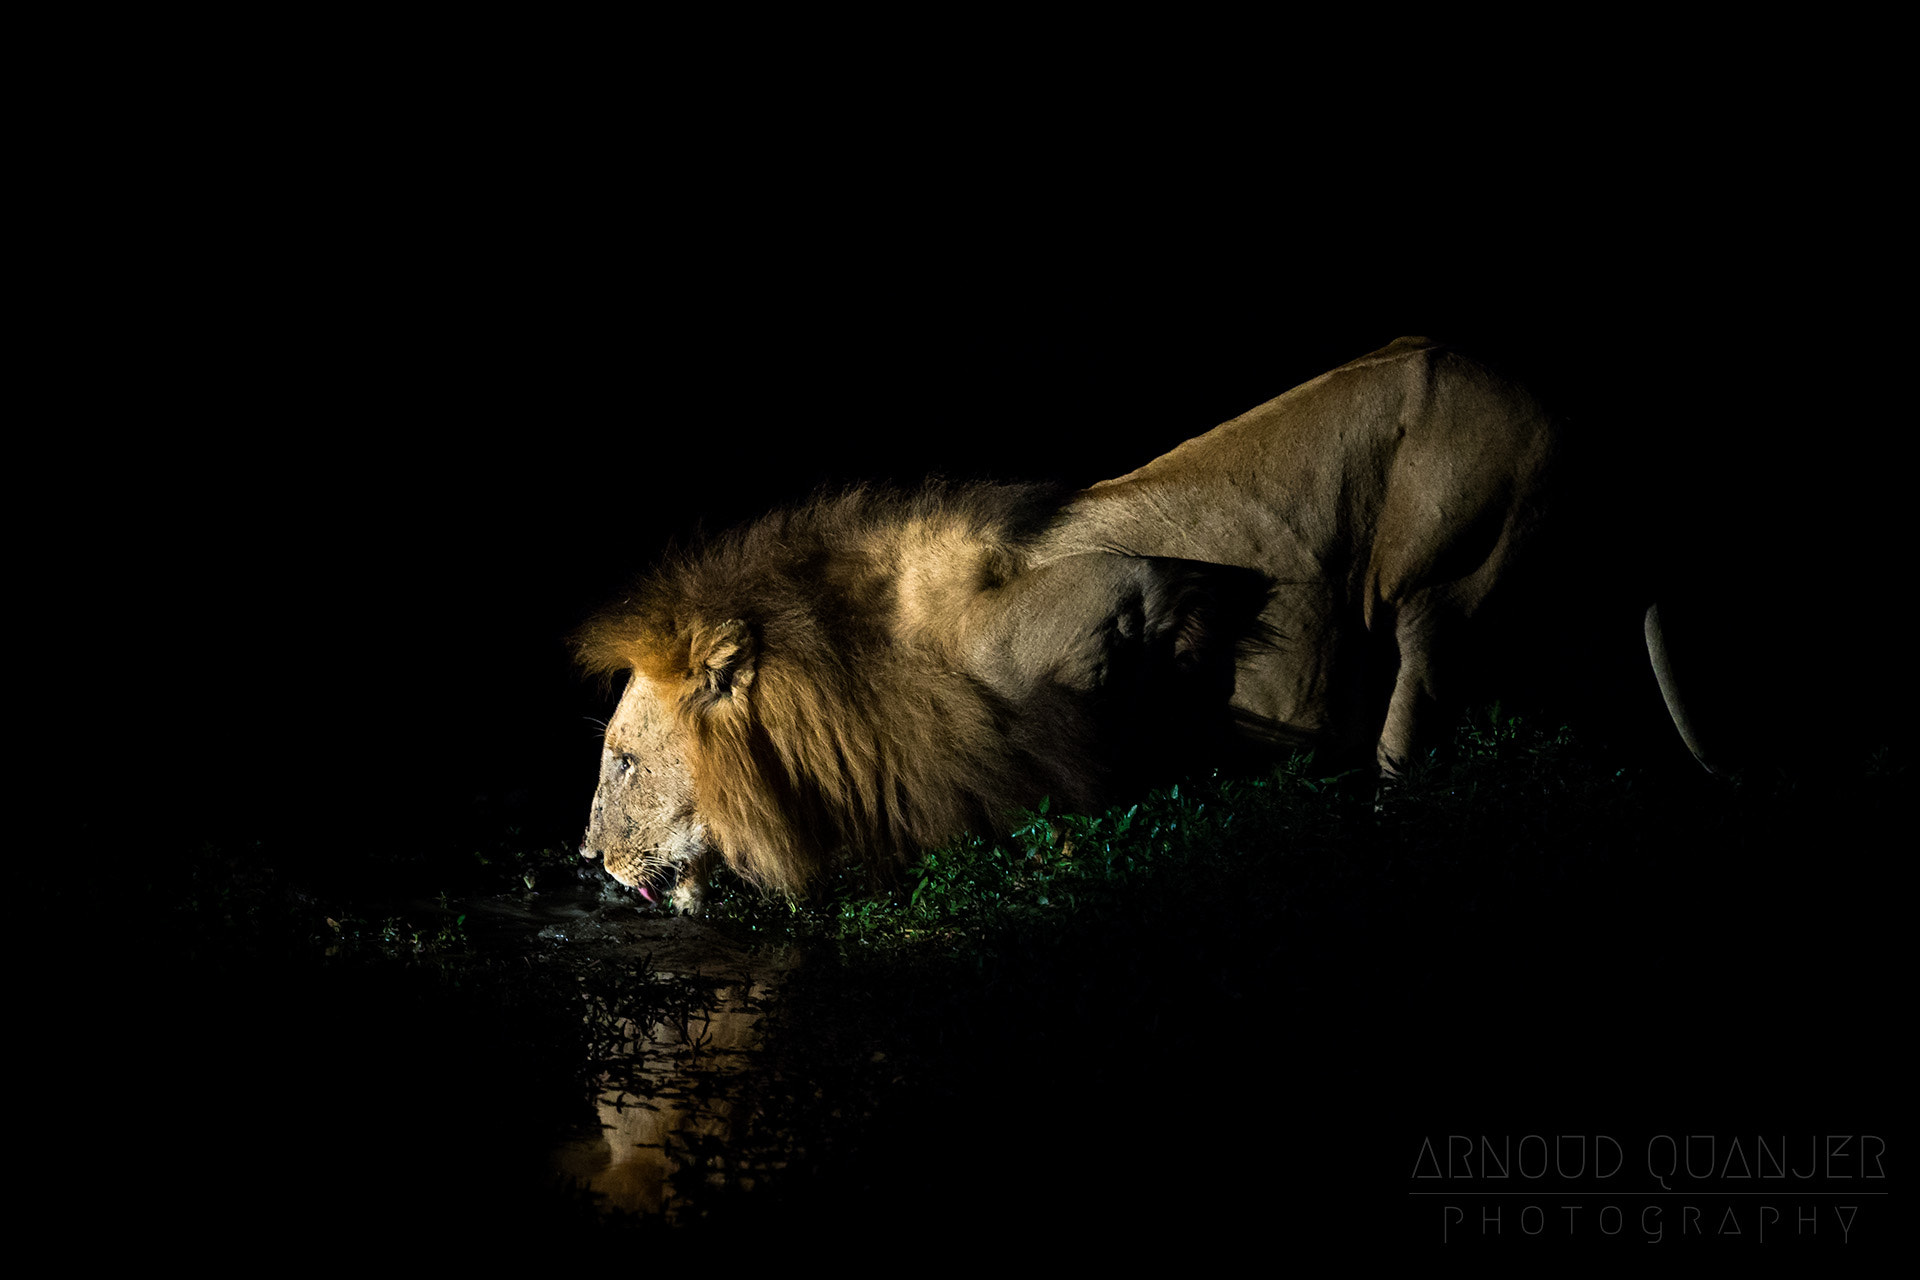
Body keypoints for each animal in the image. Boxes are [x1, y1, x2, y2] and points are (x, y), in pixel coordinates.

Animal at [576, 337, 1723, 909]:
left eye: (623, 762)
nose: (589, 864)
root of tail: (1572, 410)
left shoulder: (1126, 593)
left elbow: (1087, 747)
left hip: (1444, 577)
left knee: (1412, 726)